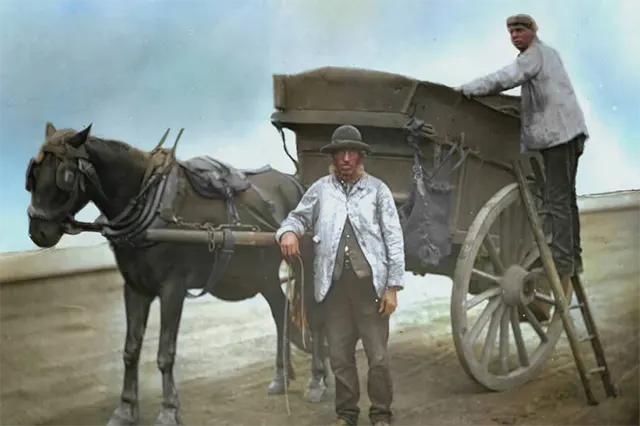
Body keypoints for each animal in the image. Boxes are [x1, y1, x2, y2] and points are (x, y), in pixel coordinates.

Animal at [25, 121, 330, 424]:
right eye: (34, 174)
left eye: (65, 175)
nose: (38, 232)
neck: (149, 202)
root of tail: (297, 182)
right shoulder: (135, 288)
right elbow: (130, 350)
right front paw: (125, 408)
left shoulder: (173, 288)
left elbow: (165, 353)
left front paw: (169, 409)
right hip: (263, 273)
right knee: (280, 312)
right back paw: (281, 377)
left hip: (304, 262)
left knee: (315, 317)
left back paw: (317, 380)